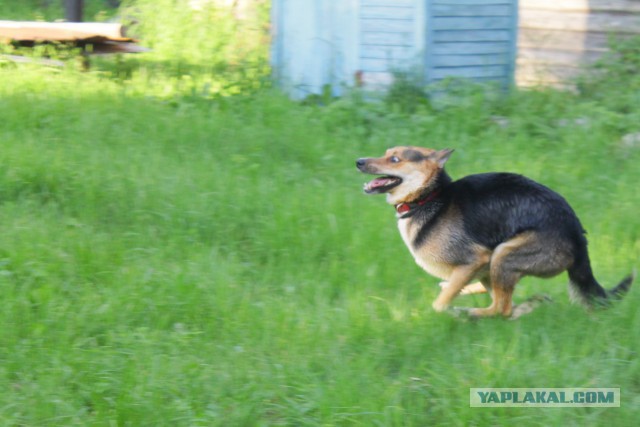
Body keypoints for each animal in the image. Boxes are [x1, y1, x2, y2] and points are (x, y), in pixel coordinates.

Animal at [358, 147, 632, 318]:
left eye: (395, 159)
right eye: (386, 153)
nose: (358, 161)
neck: (430, 197)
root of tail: (578, 237)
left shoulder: (475, 259)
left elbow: (440, 305)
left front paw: (444, 310)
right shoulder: (476, 266)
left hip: (503, 254)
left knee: (501, 309)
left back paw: (469, 313)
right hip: (498, 261)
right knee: (503, 303)